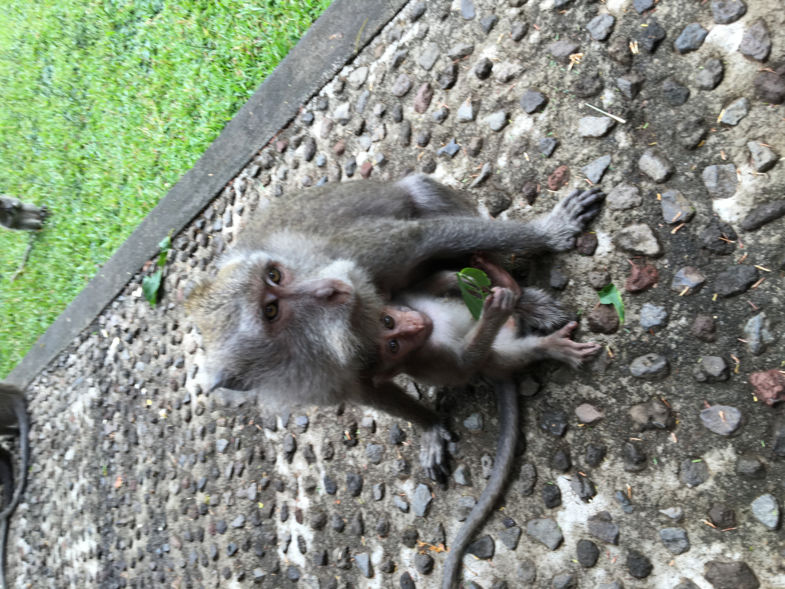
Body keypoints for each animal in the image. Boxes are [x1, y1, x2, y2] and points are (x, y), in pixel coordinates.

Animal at [187, 173, 604, 478]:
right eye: (271, 311)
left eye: (274, 274)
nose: (328, 288)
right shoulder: (323, 374)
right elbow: (369, 389)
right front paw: (429, 425)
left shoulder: (355, 255)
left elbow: (420, 238)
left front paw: (551, 231)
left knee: (420, 195)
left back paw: (520, 297)